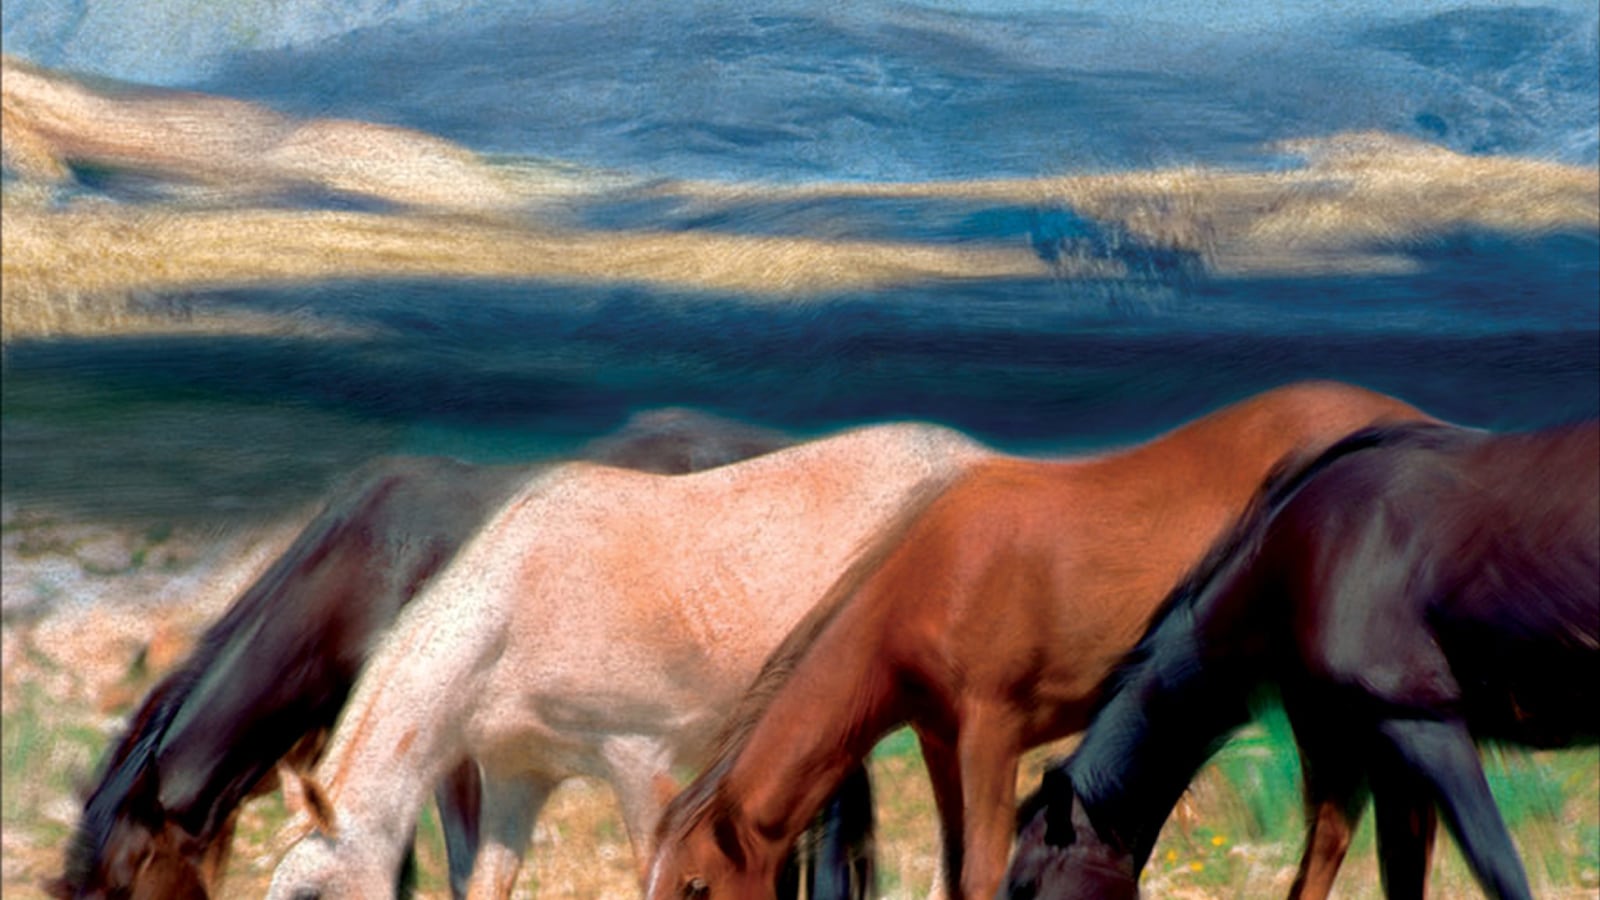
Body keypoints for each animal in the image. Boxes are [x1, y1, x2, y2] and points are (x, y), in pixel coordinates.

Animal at [646, 381, 1437, 900]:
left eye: (695, 886)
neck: (939, 573)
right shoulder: (942, 741)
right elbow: (956, 867)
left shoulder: (993, 733)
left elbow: (980, 872)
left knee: (1345, 820)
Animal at [1005, 420, 1599, 900]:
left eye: (1025, 886)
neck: (1303, 559)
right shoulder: (1361, 755)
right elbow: (1341, 878)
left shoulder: (1425, 726)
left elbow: (1499, 870)